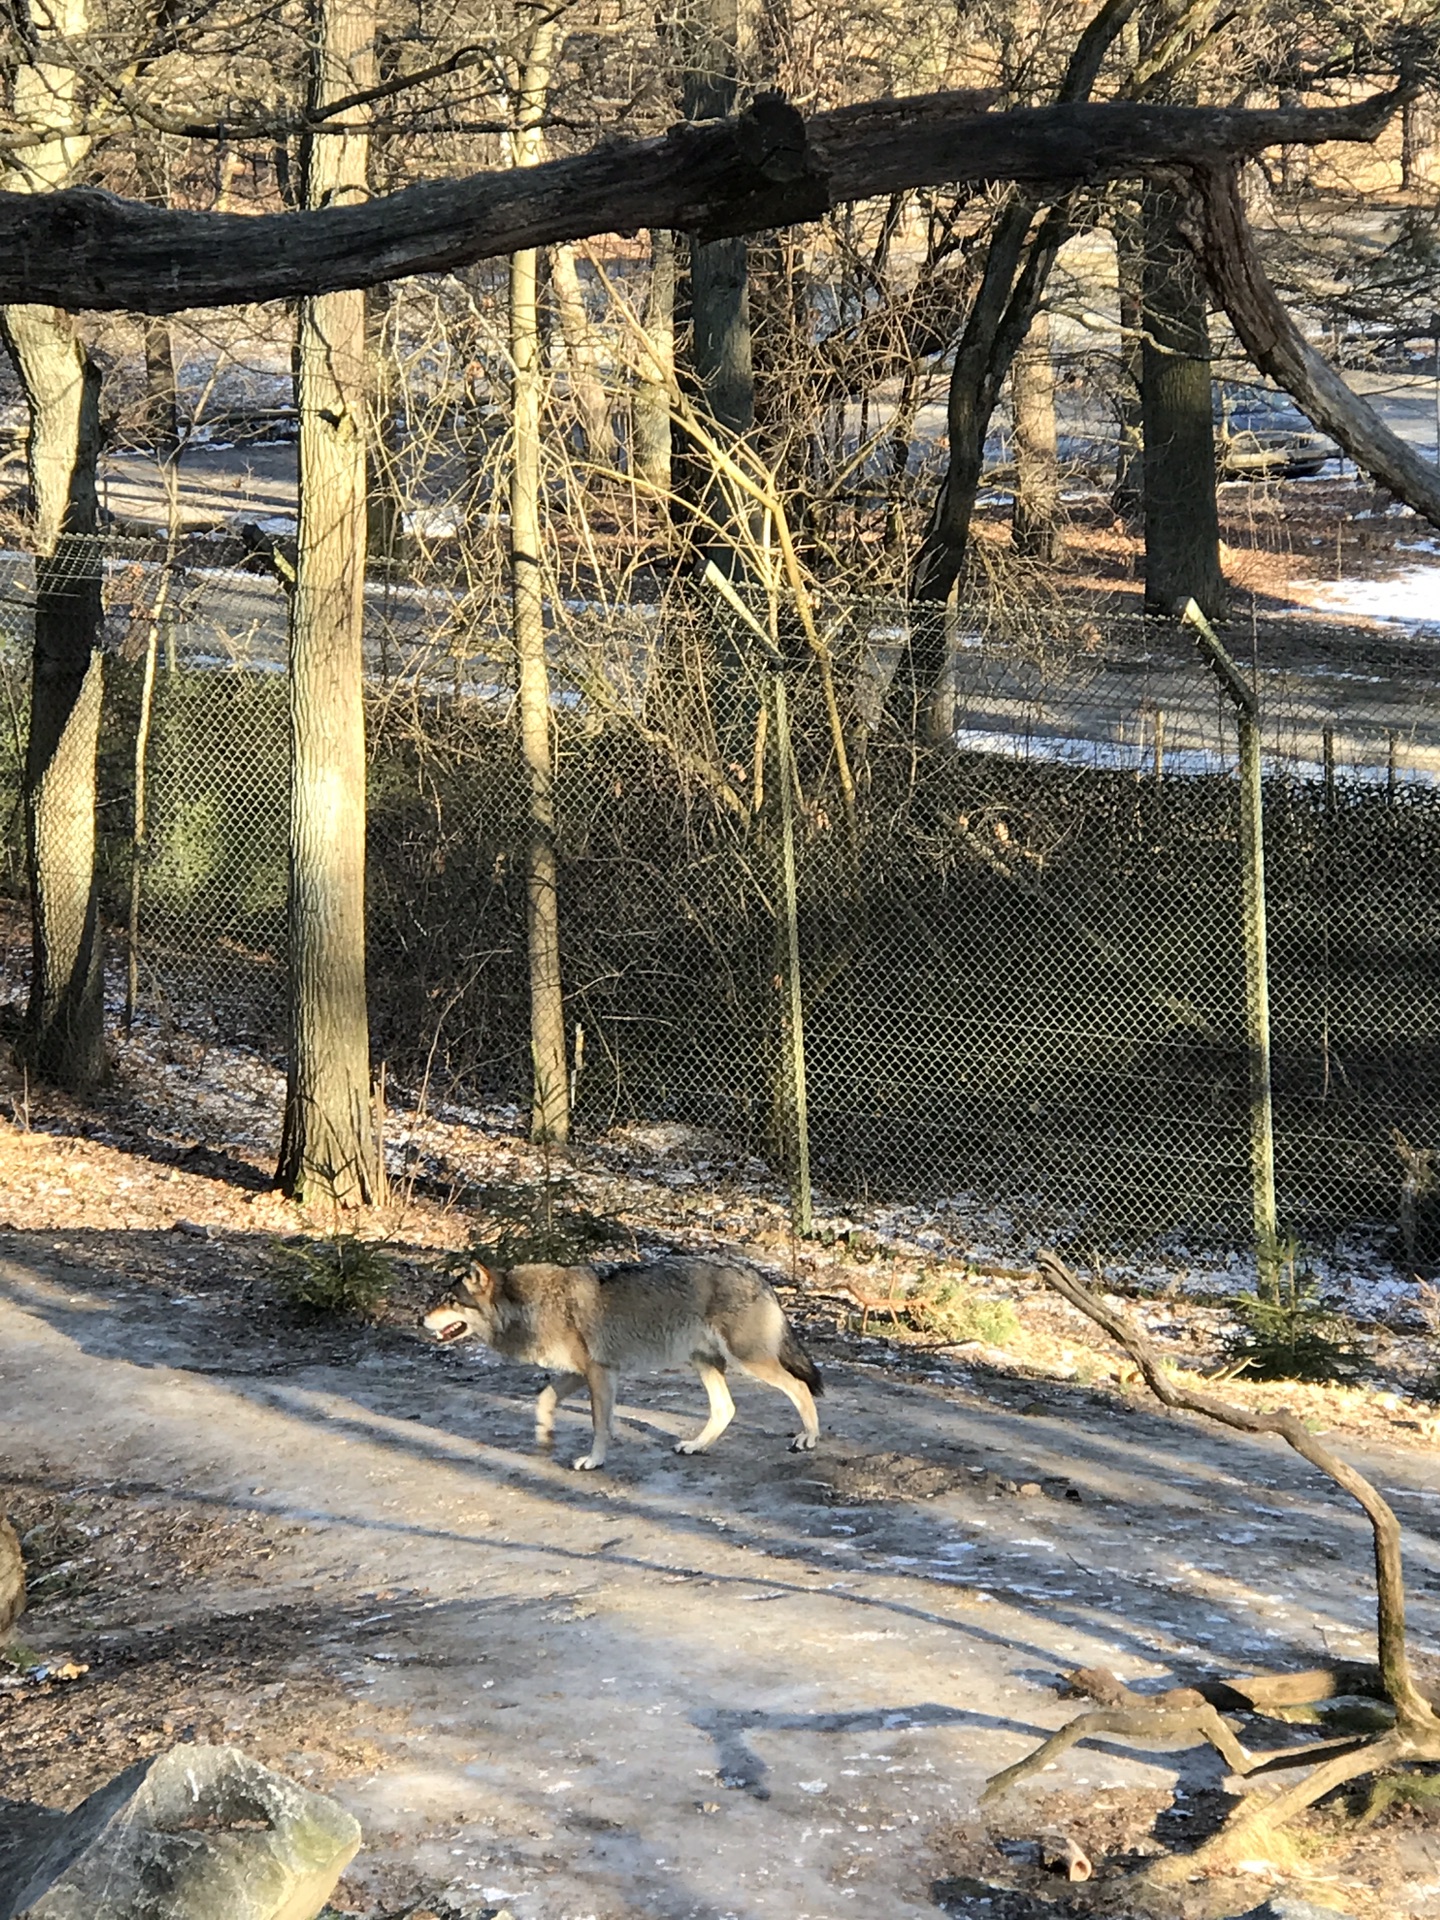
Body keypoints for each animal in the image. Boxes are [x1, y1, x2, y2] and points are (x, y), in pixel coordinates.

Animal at [422, 1259, 821, 1466]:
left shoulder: (598, 1372)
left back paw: (809, 1437)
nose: (422, 1318)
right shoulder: (582, 1373)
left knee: (800, 1387)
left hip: (748, 1361)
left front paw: (593, 1460)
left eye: (450, 1301)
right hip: (703, 1363)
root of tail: (760, 1277)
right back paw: (695, 1446)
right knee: (726, 1409)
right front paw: (544, 1436)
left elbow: (599, 1424)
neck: (526, 1307)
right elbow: (544, 1399)